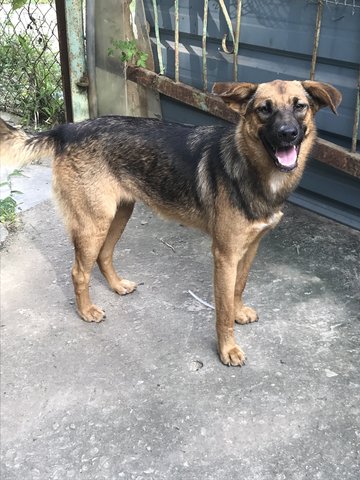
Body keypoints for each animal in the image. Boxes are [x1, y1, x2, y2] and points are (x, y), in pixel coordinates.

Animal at [0, 80, 342, 366]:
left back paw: (117, 286)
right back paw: (86, 311)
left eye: (300, 106)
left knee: (104, 255)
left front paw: (239, 311)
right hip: (93, 222)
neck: (253, 169)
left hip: (120, 213)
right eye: (264, 109)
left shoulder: (250, 248)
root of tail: (66, 130)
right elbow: (222, 311)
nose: (287, 133)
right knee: (78, 271)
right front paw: (227, 349)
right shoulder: (225, 255)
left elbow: (239, 288)